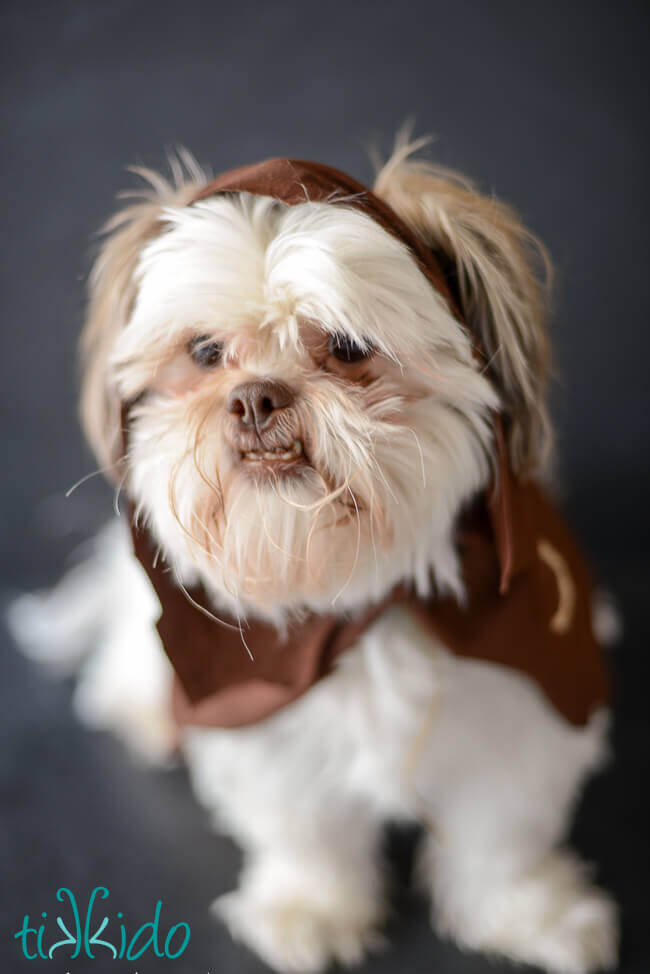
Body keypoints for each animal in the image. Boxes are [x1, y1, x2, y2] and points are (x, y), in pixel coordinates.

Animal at [10, 139, 616, 974]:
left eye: (350, 347)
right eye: (205, 352)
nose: (256, 396)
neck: (354, 602)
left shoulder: (521, 703)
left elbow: (503, 836)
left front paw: (530, 915)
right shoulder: (263, 717)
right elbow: (306, 833)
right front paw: (310, 911)